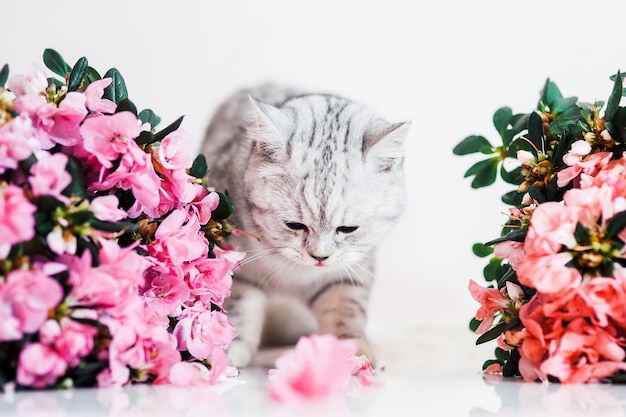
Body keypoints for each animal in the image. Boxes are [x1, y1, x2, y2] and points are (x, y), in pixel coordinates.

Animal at [197, 84, 408, 368]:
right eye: (294, 225)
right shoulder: (234, 261)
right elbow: (238, 303)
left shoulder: (349, 271)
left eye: (348, 229)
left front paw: (352, 347)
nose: (319, 256)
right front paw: (230, 345)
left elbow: (346, 308)